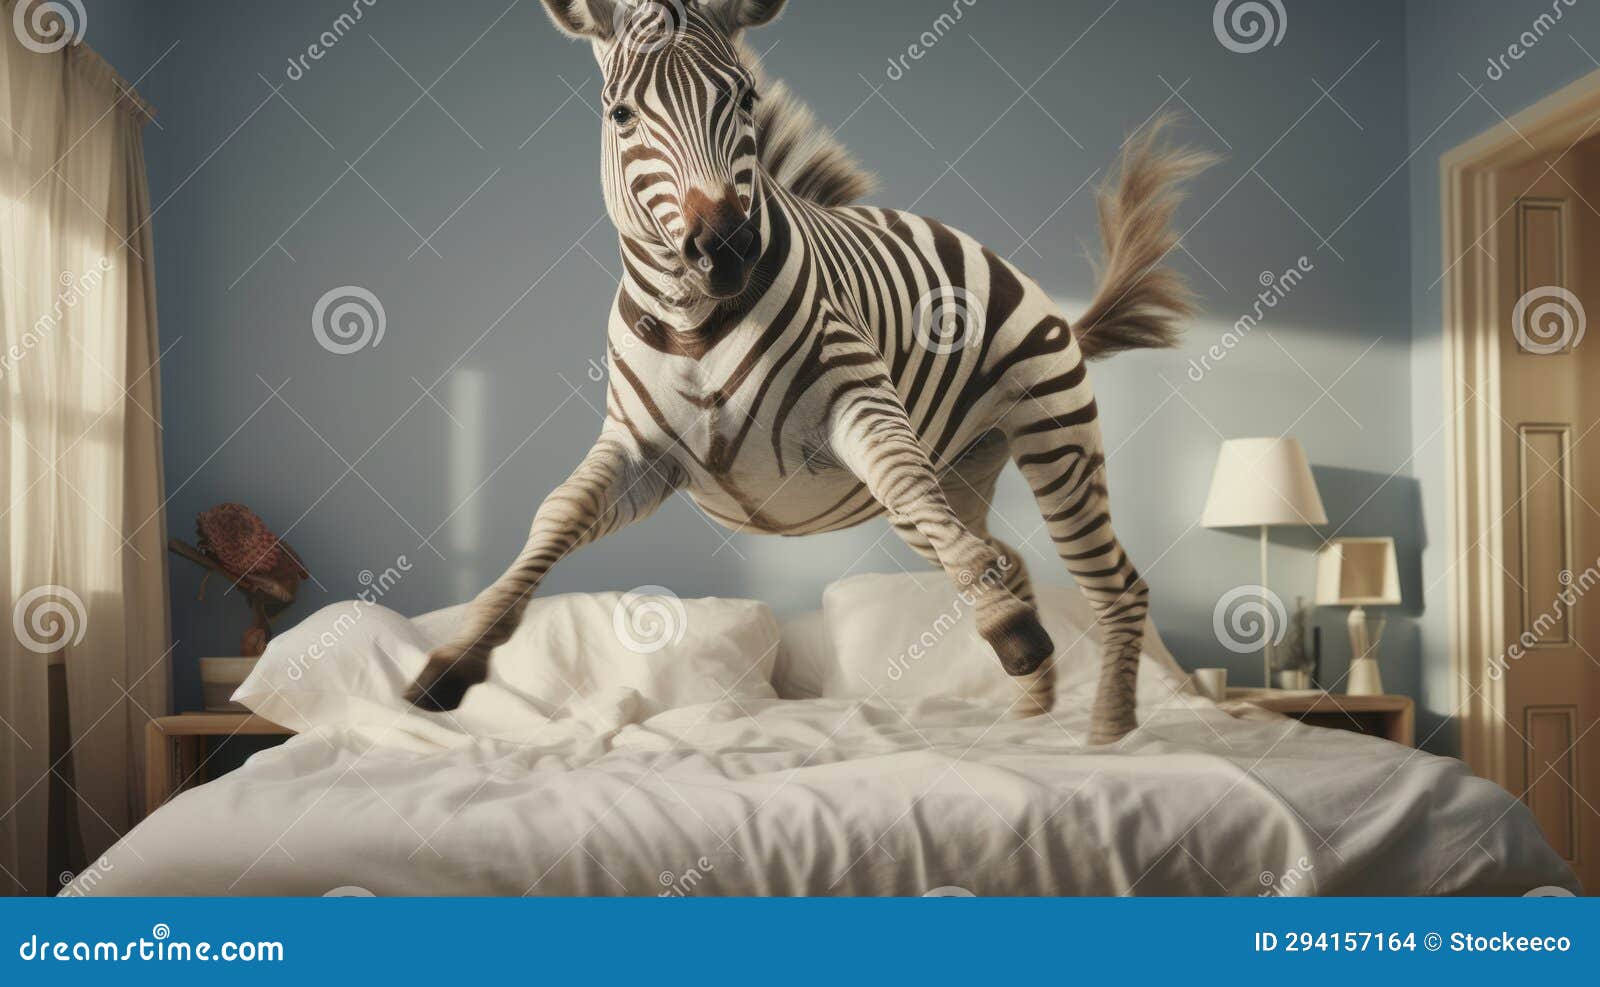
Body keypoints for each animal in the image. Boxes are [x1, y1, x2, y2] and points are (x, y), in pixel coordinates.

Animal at [404, 0, 1211, 745]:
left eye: (743, 98)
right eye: (621, 113)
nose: (724, 249)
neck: (696, 323)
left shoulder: (857, 402)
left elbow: (901, 476)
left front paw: (1007, 628)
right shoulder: (645, 454)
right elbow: (557, 512)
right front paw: (454, 659)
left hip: (1057, 440)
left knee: (1113, 584)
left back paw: (1109, 734)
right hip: (965, 468)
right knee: (998, 552)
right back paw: (1031, 712)